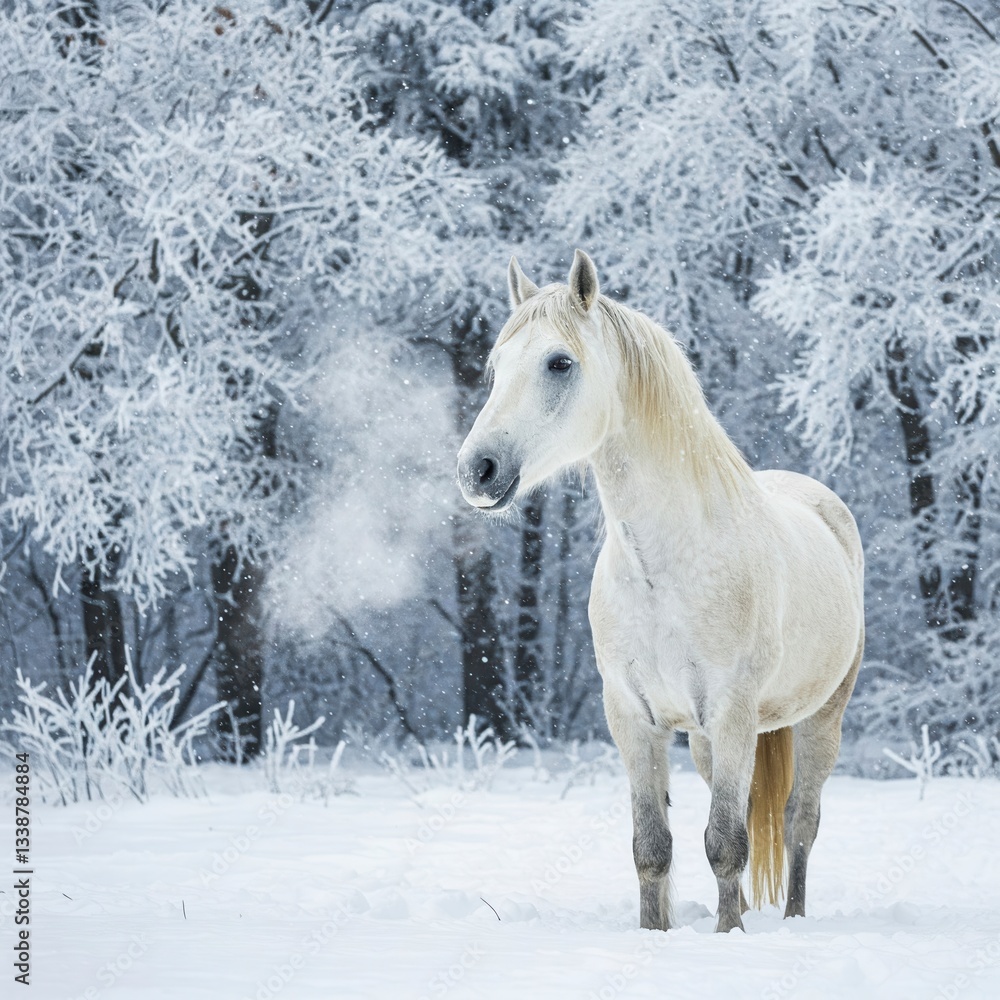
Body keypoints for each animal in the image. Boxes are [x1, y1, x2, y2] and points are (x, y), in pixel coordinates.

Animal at [456, 251, 865, 933]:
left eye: (559, 362)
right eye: (496, 366)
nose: (476, 471)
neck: (665, 571)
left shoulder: (732, 711)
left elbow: (726, 842)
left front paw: (729, 936)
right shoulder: (632, 717)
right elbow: (654, 846)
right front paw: (659, 933)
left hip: (821, 718)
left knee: (798, 823)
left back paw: (792, 920)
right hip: (703, 740)